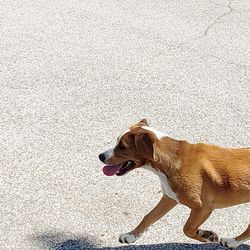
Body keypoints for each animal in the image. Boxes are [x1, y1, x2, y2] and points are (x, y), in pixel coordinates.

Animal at [98, 118, 249, 248]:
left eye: (122, 146)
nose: (100, 156)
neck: (174, 158)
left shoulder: (203, 208)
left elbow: (187, 229)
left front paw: (206, 236)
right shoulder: (169, 198)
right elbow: (148, 217)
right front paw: (131, 236)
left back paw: (232, 242)